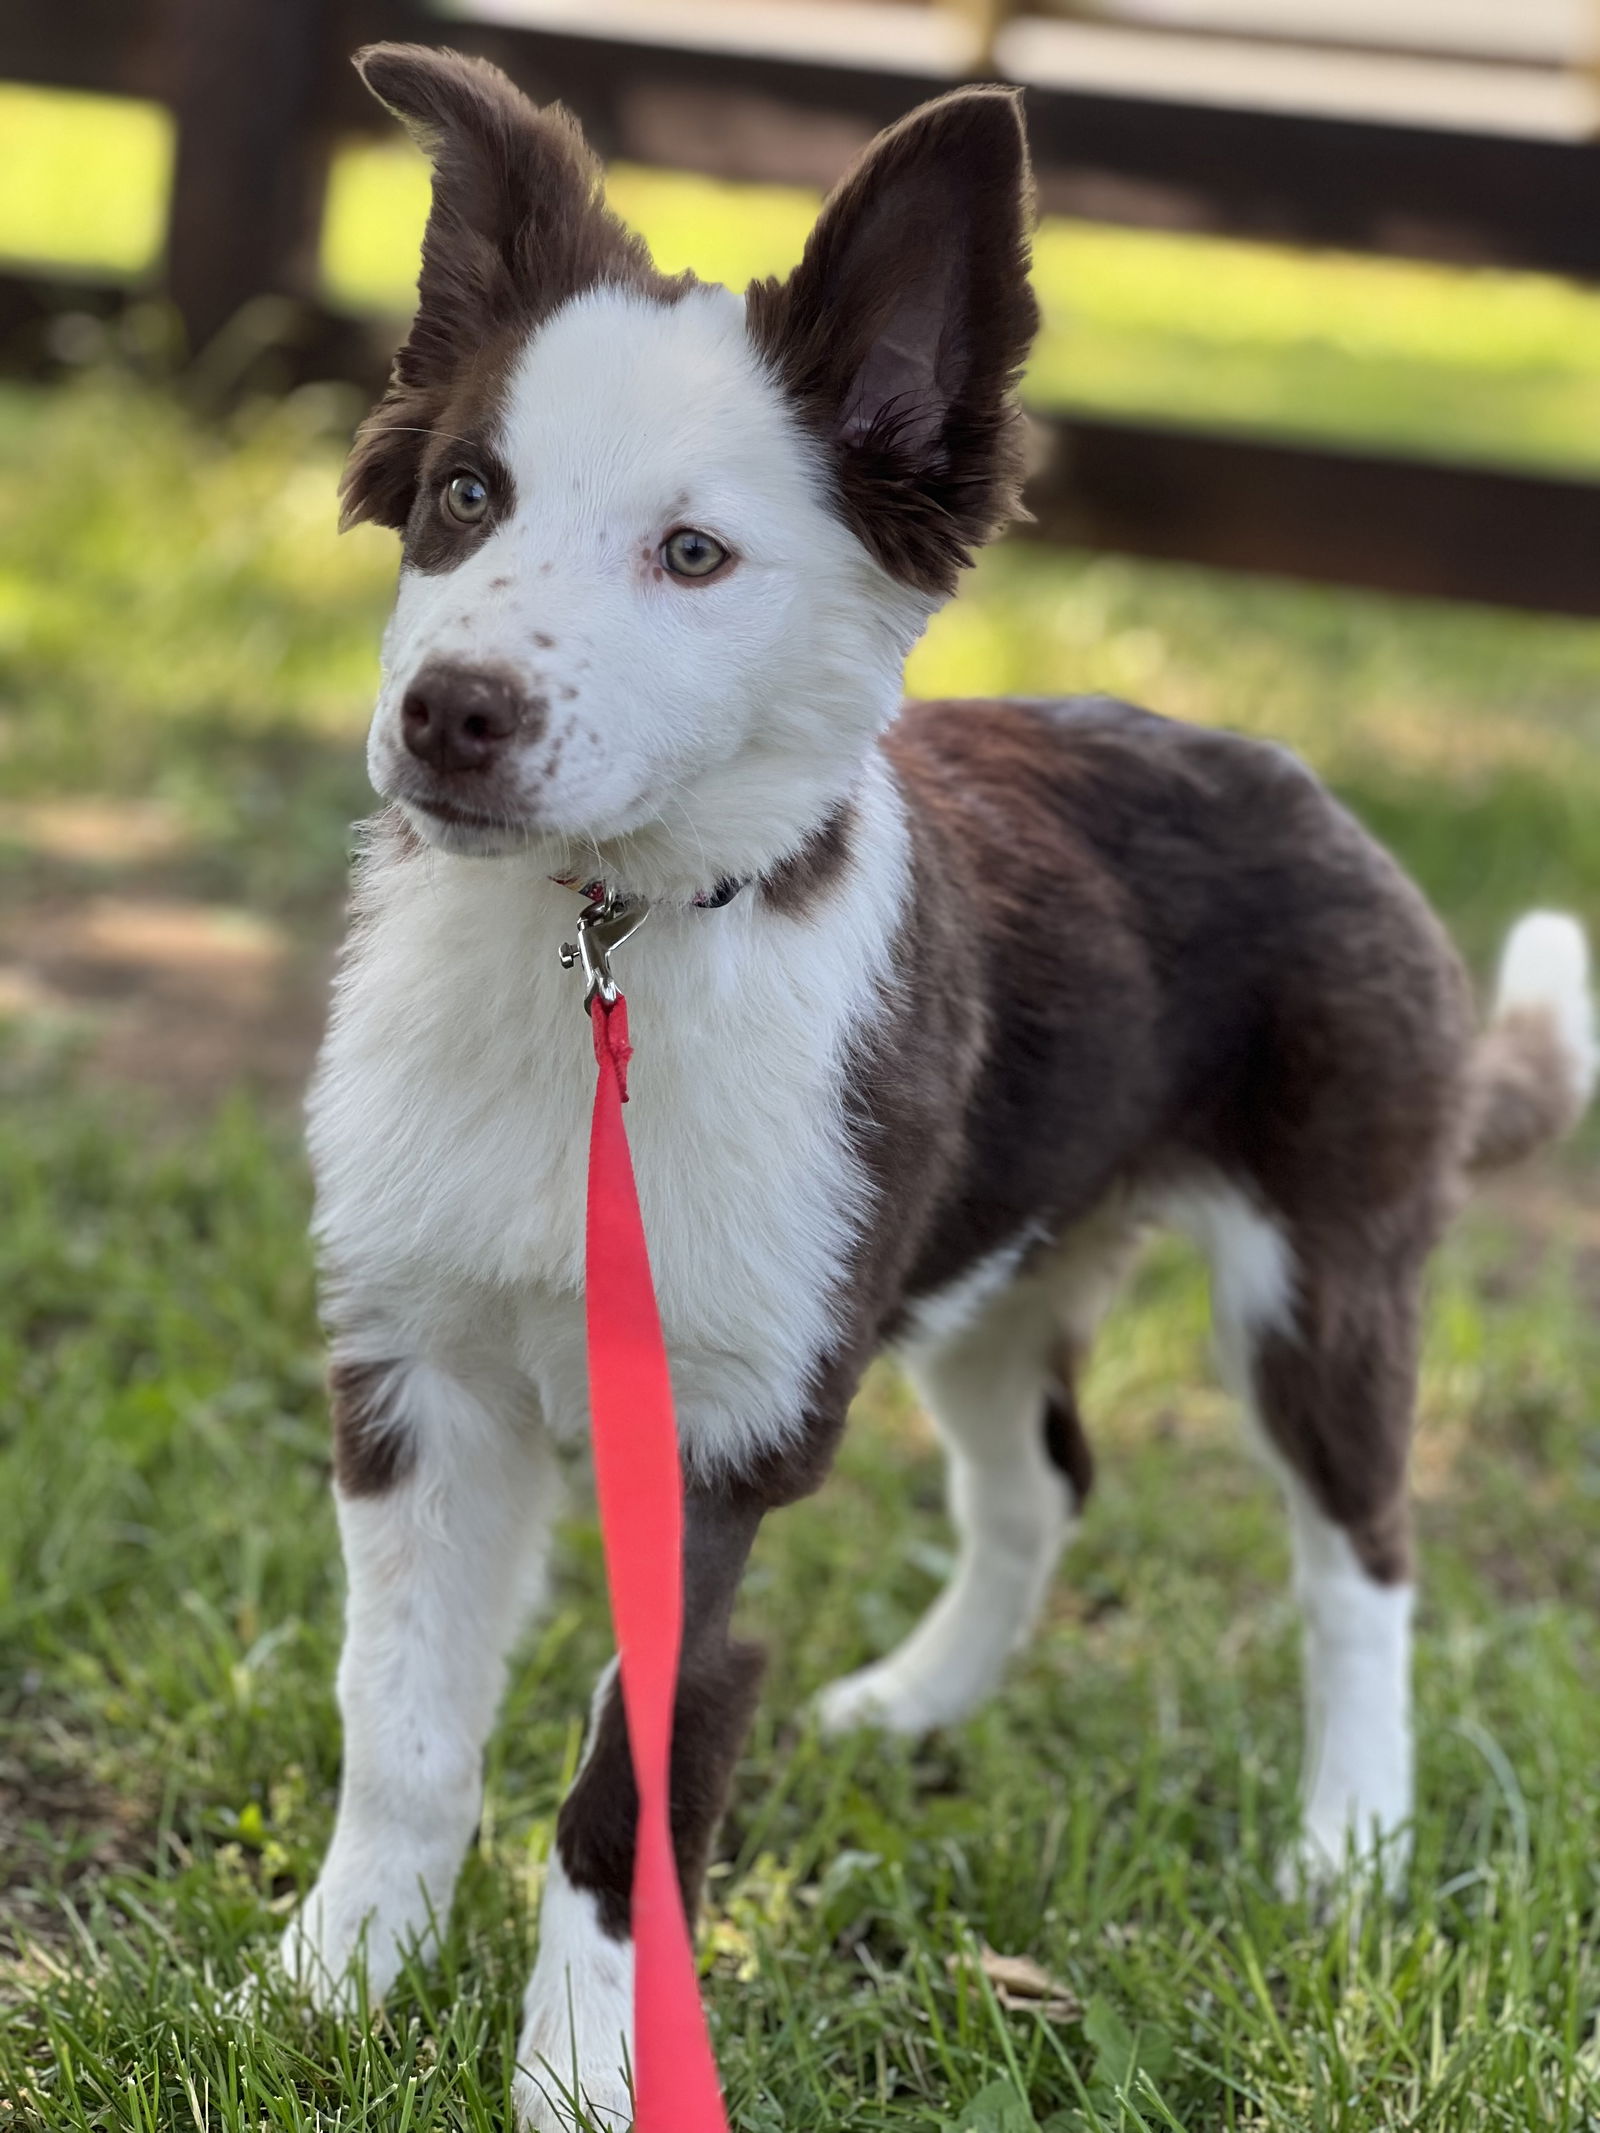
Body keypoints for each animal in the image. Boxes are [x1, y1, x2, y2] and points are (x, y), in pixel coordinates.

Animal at [292, 41, 1600, 2124]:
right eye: (463, 497)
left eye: (694, 554)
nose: (449, 714)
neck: (603, 958)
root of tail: (1313, 790)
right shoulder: (416, 1368)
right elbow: (400, 1721)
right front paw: (330, 1988)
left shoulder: (725, 1437)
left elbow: (631, 1785)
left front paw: (579, 2077)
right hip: (989, 1273)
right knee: (1036, 1483)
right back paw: (917, 1698)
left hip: (1327, 1272)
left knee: (1363, 1561)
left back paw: (1346, 1844)